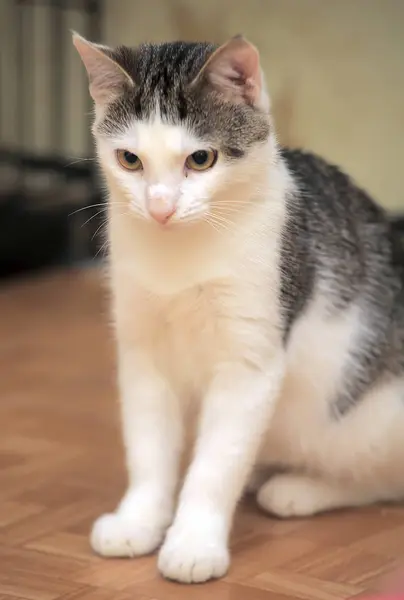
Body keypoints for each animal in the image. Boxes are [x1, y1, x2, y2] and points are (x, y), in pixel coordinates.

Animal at [72, 31, 404, 580]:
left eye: (201, 159)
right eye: (130, 160)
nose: (160, 207)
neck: (180, 256)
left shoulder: (249, 361)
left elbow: (215, 465)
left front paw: (193, 542)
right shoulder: (143, 353)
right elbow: (148, 449)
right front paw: (139, 519)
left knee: (382, 477)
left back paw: (300, 488)